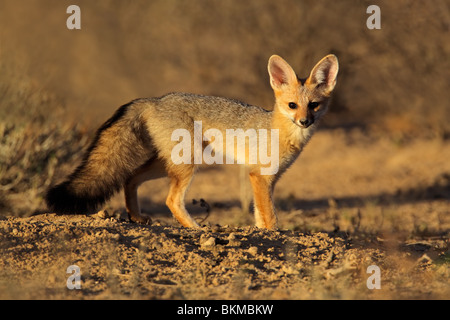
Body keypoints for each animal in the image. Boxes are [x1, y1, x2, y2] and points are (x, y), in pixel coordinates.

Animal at [46, 55, 342, 230]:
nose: (304, 121)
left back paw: (137, 217)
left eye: (314, 105)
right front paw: (274, 235)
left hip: (168, 164)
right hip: (188, 164)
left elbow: (259, 214)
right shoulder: (259, 177)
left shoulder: (267, 179)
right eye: (292, 105)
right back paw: (195, 229)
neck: (277, 129)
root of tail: (154, 99)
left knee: (130, 178)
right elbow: (269, 217)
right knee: (171, 200)